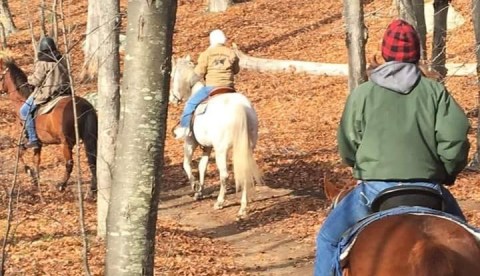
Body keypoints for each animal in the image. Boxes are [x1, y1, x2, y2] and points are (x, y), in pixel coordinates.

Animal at [0, 57, 97, 195]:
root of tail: (85, 106)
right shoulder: (38, 143)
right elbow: (36, 160)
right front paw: (35, 179)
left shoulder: (26, 140)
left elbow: (19, 154)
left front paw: (30, 173)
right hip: (89, 139)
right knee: (93, 160)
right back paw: (93, 189)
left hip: (66, 143)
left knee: (70, 163)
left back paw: (61, 185)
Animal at [170, 55, 262, 218]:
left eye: (172, 76)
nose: (171, 99)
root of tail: (241, 108)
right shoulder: (207, 147)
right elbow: (202, 167)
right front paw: (199, 192)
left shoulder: (190, 142)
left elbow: (187, 165)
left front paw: (195, 186)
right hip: (246, 148)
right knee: (244, 173)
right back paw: (242, 209)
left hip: (221, 150)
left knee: (224, 175)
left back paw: (220, 202)